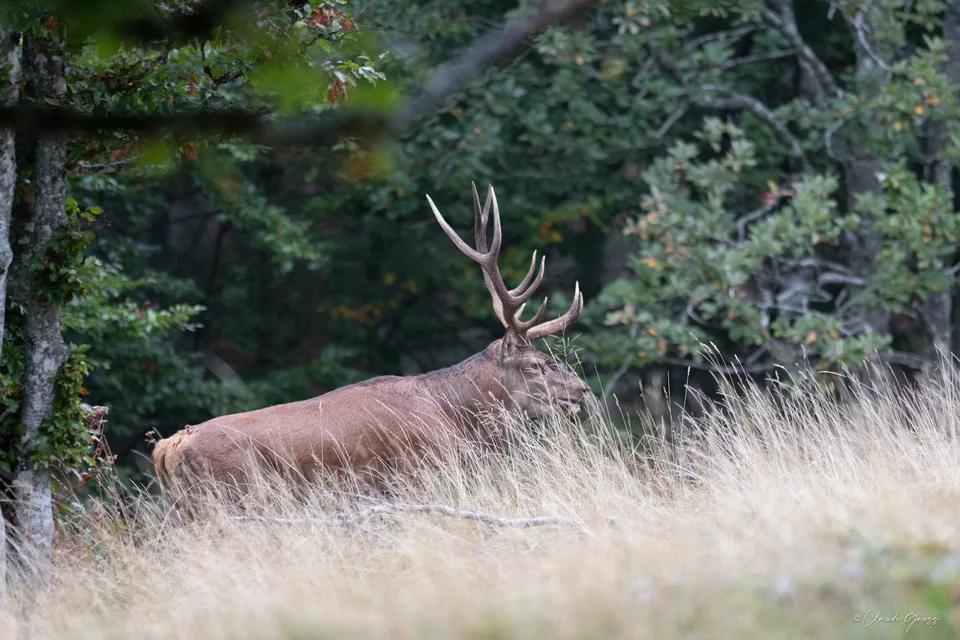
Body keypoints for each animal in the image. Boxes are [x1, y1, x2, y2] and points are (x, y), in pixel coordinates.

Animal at [151, 183, 590, 496]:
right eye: (535, 364)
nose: (582, 389)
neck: (455, 415)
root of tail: (168, 449)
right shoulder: (419, 470)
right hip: (235, 494)